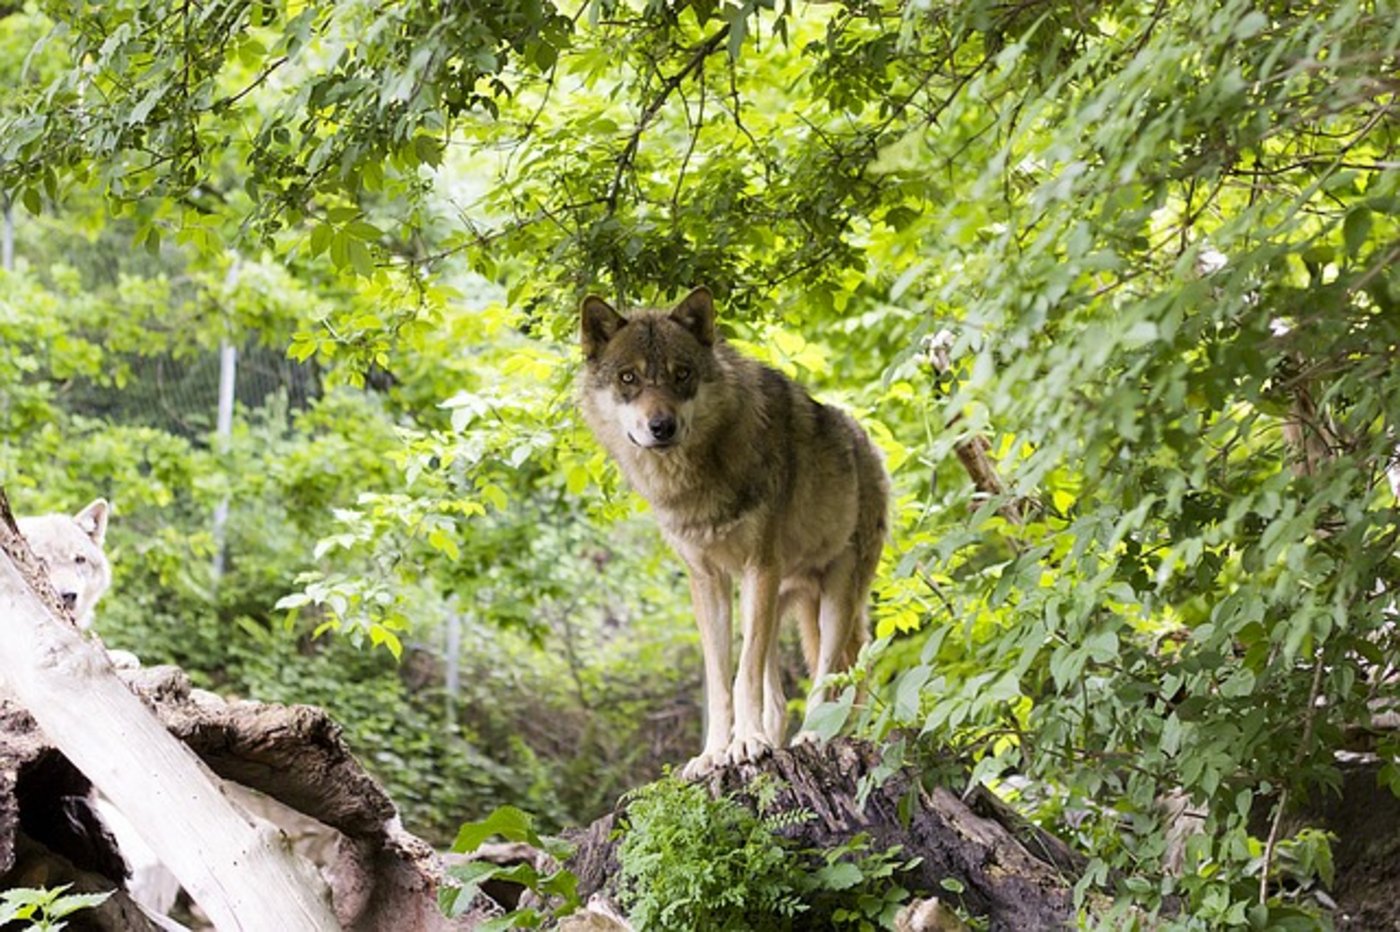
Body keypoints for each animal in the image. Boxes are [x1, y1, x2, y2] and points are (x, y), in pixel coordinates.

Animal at [579, 286, 889, 777]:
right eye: (629, 377)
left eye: (681, 374)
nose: (661, 426)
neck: (696, 477)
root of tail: (868, 443)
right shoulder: (709, 581)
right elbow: (721, 681)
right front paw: (714, 753)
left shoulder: (758, 567)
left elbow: (743, 676)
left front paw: (744, 744)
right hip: (779, 600)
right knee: (779, 696)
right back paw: (777, 738)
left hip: (833, 597)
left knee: (835, 670)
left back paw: (816, 735)